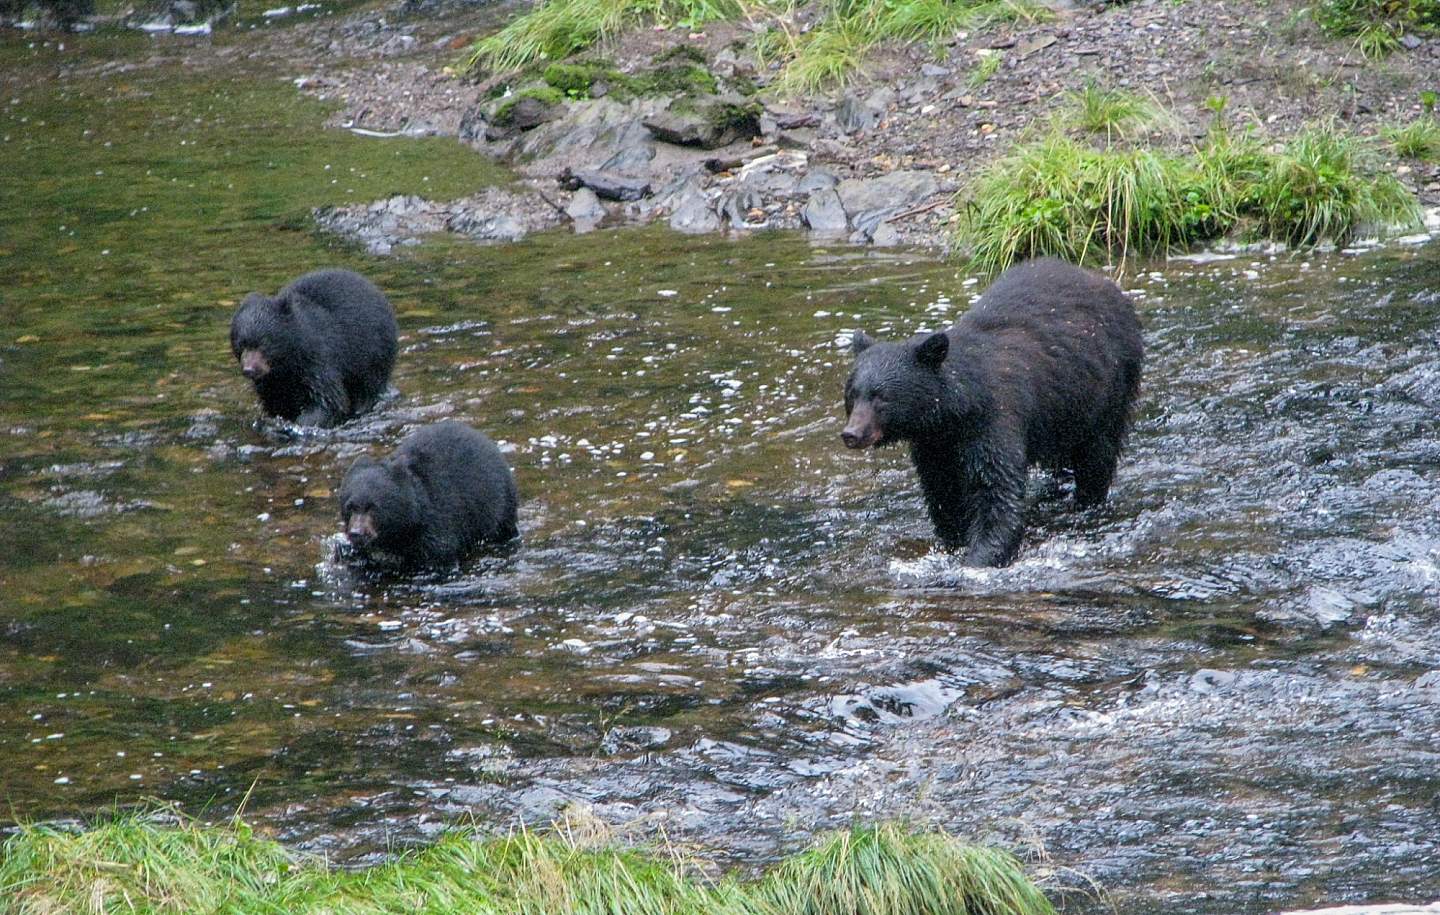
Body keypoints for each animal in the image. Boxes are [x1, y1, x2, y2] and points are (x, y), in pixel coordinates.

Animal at [231, 266, 400, 426]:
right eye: (241, 344)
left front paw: (301, 422)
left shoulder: (317, 357)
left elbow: (327, 398)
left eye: (264, 343)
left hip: (373, 354)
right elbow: (275, 400)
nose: (249, 369)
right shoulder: (271, 380)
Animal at [336, 420, 518, 564]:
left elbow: (439, 551)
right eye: (350, 507)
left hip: (501, 503)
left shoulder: (437, 519)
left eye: (373, 507)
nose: (356, 533)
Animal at [840, 257, 1140, 570]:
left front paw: (978, 559)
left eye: (881, 397)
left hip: (1109, 390)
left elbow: (995, 491)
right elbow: (943, 492)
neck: (953, 414)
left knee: (1098, 454)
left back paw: (1087, 501)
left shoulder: (993, 420)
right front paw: (953, 541)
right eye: (852, 393)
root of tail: (1105, 282)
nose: (852, 434)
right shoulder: (934, 445)